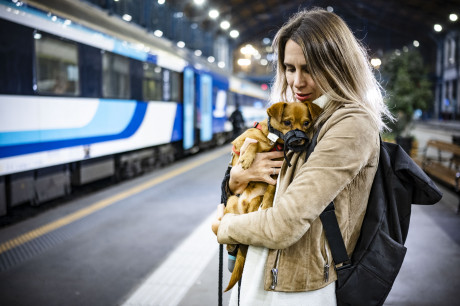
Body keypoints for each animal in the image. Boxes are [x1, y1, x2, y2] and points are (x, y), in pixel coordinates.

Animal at [223, 101, 320, 292]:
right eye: (287, 122)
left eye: (306, 123)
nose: (298, 139)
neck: (274, 141)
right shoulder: (240, 143)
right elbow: (253, 144)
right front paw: (247, 158)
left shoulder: (275, 172)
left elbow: (270, 191)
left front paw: (268, 205)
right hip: (231, 200)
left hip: (254, 202)